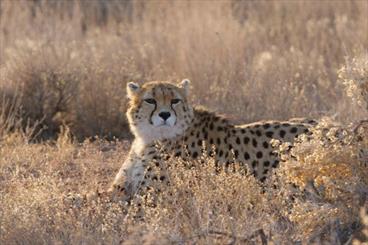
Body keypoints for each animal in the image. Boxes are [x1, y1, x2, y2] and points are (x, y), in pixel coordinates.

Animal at [110, 80, 316, 201]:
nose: (165, 115)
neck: (148, 139)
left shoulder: (152, 196)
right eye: (150, 100)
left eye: (175, 101)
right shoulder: (120, 189)